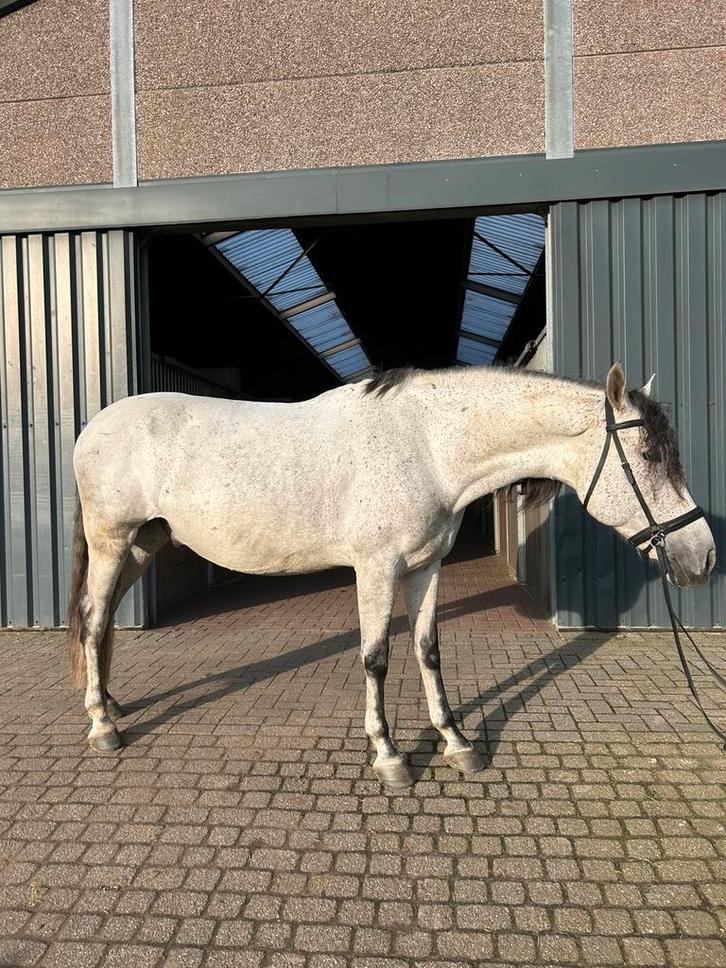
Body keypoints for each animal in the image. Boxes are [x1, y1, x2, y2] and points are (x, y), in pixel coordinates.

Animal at [67, 362, 716, 789]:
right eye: (651, 457)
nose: (703, 557)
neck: (427, 445)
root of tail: (93, 425)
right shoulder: (377, 568)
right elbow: (376, 657)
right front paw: (390, 756)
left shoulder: (425, 567)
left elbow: (427, 649)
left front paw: (457, 743)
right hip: (111, 542)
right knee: (95, 619)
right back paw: (102, 725)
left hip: (143, 545)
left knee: (102, 621)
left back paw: (113, 704)